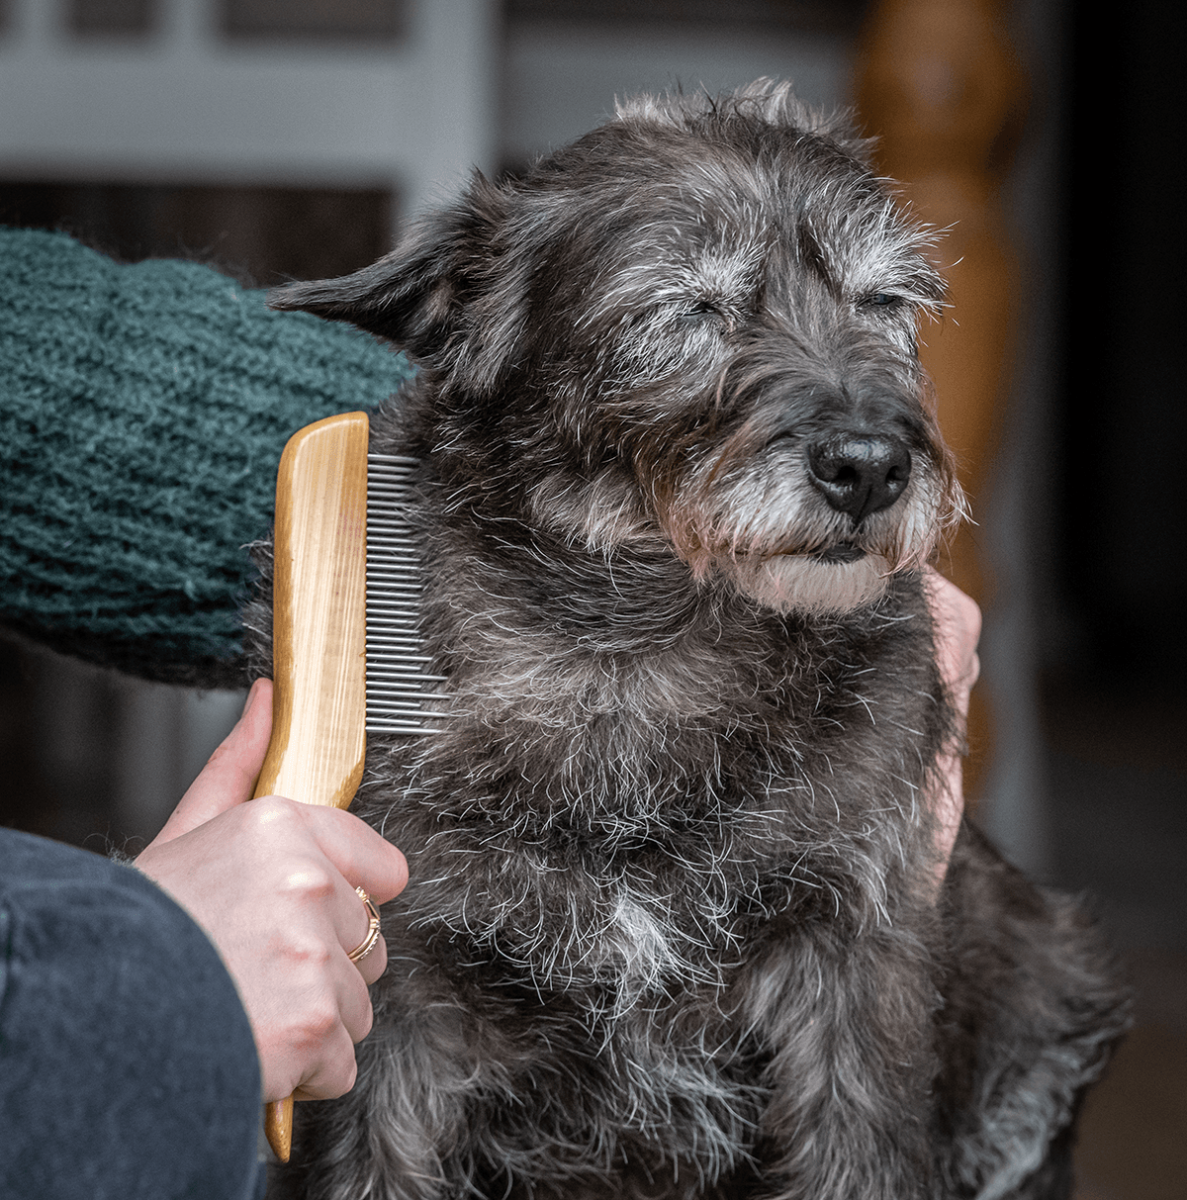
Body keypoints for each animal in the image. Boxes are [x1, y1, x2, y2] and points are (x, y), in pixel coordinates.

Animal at [252, 84, 1128, 1200]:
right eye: (686, 307)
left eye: (882, 301)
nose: (871, 465)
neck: (631, 648)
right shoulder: (390, 999)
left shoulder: (854, 968)